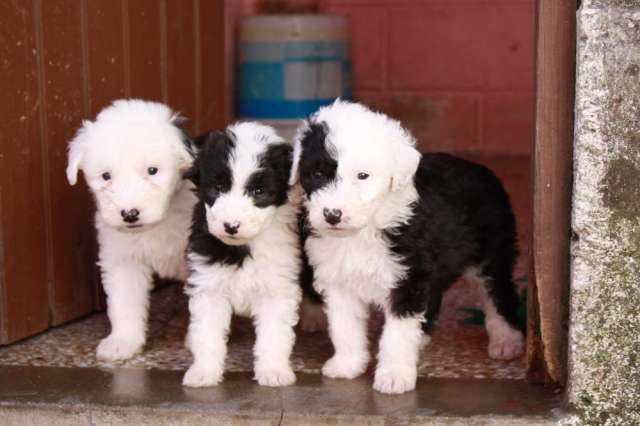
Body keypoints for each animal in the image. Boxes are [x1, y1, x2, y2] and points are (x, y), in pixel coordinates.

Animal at [66, 98, 198, 362]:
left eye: (152, 170)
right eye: (106, 176)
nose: (129, 214)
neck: (160, 221)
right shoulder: (122, 260)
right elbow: (124, 301)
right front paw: (123, 342)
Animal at [180, 121, 300, 388]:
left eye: (259, 191)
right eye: (218, 188)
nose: (231, 226)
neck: (244, 246)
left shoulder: (277, 288)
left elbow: (274, 334)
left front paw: (274, 371)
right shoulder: (208, 285)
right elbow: (207, 334)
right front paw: (203, 372)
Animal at [290, 100, 524, 392]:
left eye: (363, 176)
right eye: (318, 173)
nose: (332, 215)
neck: (364, 231)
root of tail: (480, 168)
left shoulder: (408, 279)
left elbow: (397, 334)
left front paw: (393, 376)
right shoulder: (340, 281)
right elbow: (345, 327)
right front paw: (347, 364)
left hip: (493, 252)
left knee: (499, 294)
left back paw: (507, 341)